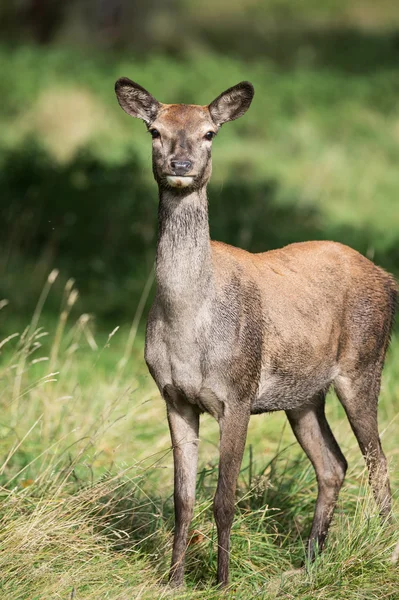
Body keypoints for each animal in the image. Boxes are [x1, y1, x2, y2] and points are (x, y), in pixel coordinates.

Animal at [115, 77, 396, 588]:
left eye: (209, 133)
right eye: (155, 131)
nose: (180, 166)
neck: (189, 325)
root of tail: (388, 279)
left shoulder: (238, 392)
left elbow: (225, 498)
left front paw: (223, 581)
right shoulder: (173, 396)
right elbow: (182, 499)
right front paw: (174, 580)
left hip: (364, 364)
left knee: (377, 461)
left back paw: (384, 553)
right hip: (303, 395)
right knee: (334, 465)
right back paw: (307, 564)